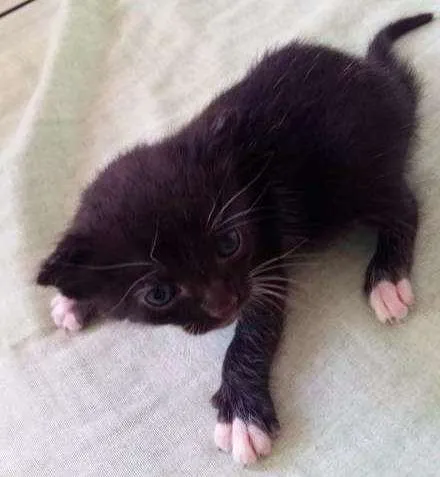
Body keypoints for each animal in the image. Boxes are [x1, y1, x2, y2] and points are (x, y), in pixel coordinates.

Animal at [37, 13, 433, 465]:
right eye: (158, 294)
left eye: (229, 243)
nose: (225, 303)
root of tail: (376, 75)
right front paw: (74, 298)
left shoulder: (265, 259)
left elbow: (255, 328)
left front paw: (243, 412)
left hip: (355, 176)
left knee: (405, 204)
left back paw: (387, 278)